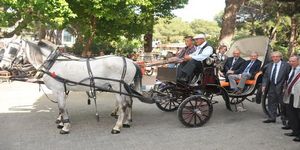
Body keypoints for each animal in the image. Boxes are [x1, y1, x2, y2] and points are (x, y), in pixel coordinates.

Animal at [4, 38, 149, 134]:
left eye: (13, 49)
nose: (3, 66)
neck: (52, 63)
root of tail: (130, 61)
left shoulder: (59, 90)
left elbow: (61, 108)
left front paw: (65, 127)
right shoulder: (62, 90)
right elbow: (63, 107)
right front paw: (63, 122)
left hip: (117, 87)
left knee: (123, 105)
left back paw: (117, 126)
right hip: (123, 87)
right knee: (128, 102)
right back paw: (126, 122)